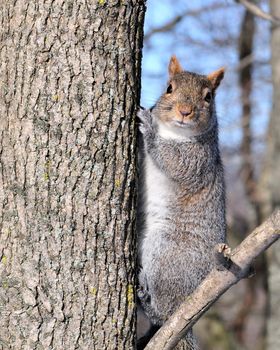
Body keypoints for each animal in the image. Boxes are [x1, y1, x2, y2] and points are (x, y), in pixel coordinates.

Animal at [138, 56, 228, 348]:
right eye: (169, 88)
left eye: (209, 97)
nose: (185, 111)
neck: (173, 132)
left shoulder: (197, 160)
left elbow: (172, 160)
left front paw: (148, 126)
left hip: (167, 256)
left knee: (165, 312)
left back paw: (147, 300)